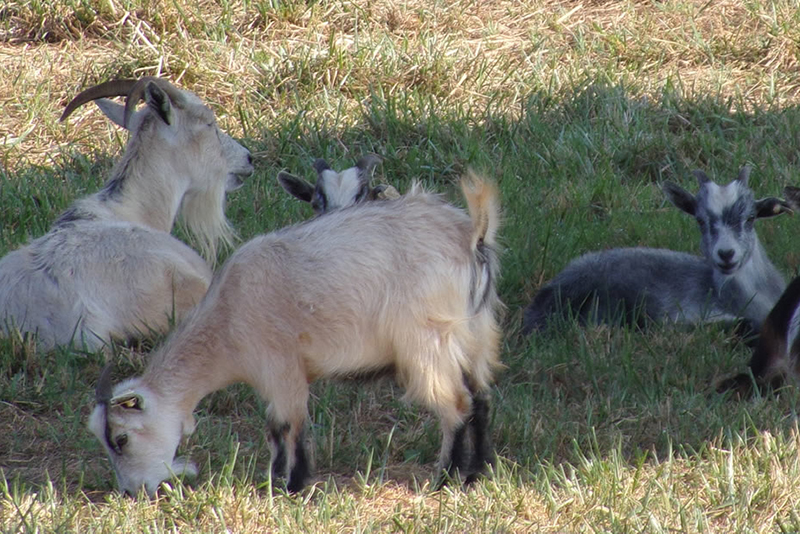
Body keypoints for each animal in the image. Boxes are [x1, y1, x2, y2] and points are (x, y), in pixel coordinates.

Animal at [88, 171, 502, 497]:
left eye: (121, 439)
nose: (131, 492)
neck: (227, 318)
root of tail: (471, 236)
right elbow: (276, 429)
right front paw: (274, 482)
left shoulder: (282, 368)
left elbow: (288, 425)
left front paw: (292, 485)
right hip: (475, 334)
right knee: (480, 398)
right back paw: (476, 473)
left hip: (426, 344)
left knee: (456, 405)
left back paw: (445, 478)